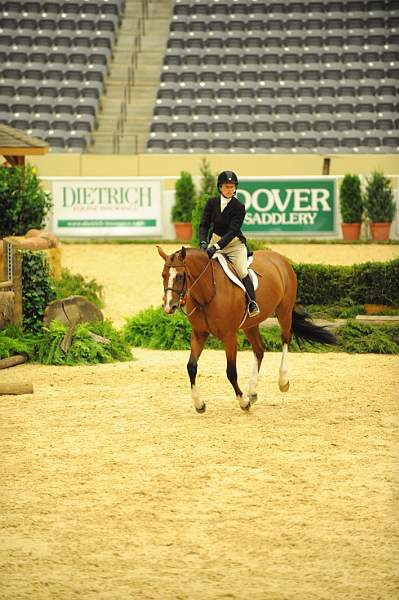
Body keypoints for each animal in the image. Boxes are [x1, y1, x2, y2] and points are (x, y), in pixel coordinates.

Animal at [157, 245, 338, 412]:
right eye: (163, 275)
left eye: (180, 276)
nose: (169, 306)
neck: (207, 293)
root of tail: (280, 258)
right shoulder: (199, 333)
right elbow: (191, 367)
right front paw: (199, 404)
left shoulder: (230, 336)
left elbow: (231, 371)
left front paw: (243, 402)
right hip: (251, 325)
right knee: (259, 350)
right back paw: (252, 391)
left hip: (284, 311)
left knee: (286, 339)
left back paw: (282, 382)